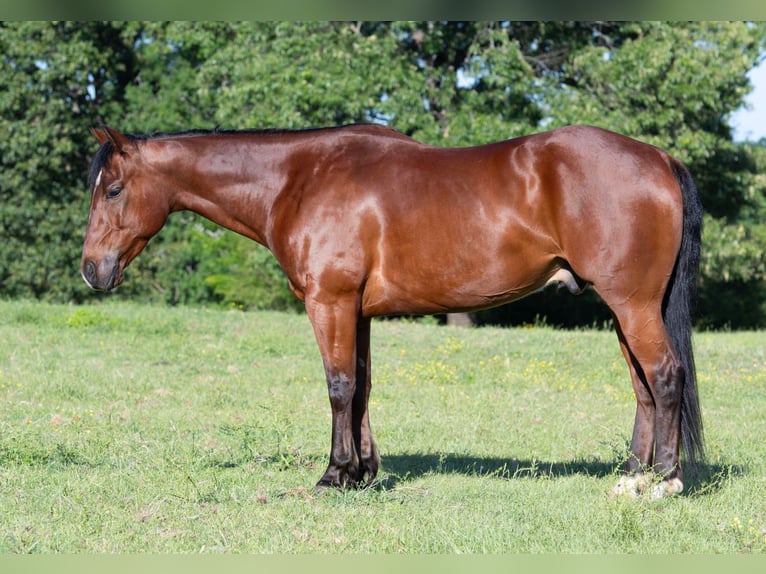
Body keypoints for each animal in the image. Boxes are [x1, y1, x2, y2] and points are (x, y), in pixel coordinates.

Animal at [81, 124, 704, 498]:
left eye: (113, 190)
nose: (92, 269)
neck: (298, 180)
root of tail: (659, 158)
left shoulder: (328, 302)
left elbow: (337, 385)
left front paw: (334, 475)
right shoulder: (356, 310)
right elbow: (361, 385)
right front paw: (363, 472)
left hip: (632, 304)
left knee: (664, 375)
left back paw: (665, 481)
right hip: (623, 309)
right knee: (643, 385)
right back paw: (632, 477)